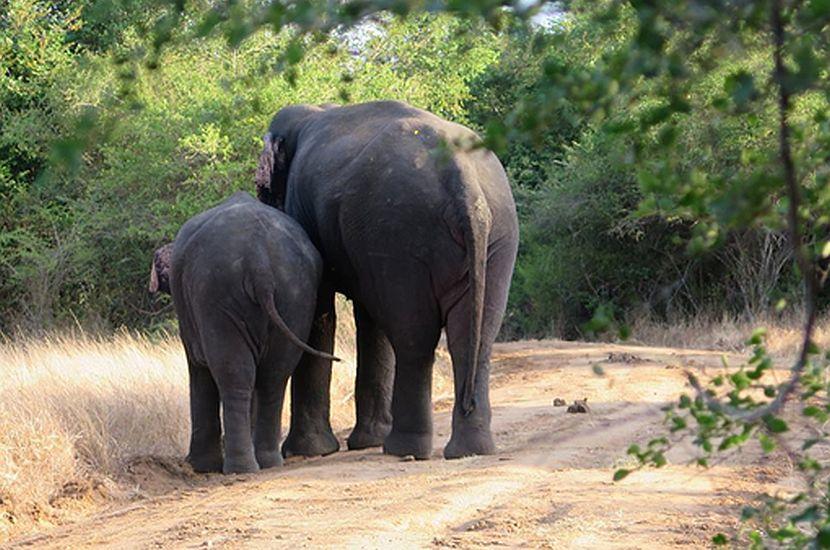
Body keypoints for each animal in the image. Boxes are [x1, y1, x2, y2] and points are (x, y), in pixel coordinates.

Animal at [151, 193, 336, 474]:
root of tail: (259, 263)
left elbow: (198, 366)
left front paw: (199, 467)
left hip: (217, 292)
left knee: (234, 374)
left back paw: (240, 468)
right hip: (295, 294)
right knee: (273, 375)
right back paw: (267, 463)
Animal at [258, 100, 520, 462]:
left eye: (264, 190)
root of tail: (463, 181)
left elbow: (321, 310)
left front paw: (309, 451)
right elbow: (367, 316)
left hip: (401, 231)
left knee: (414, 337)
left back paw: (403, 449)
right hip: (493, 237)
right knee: (471, 336)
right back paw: (470, 450)